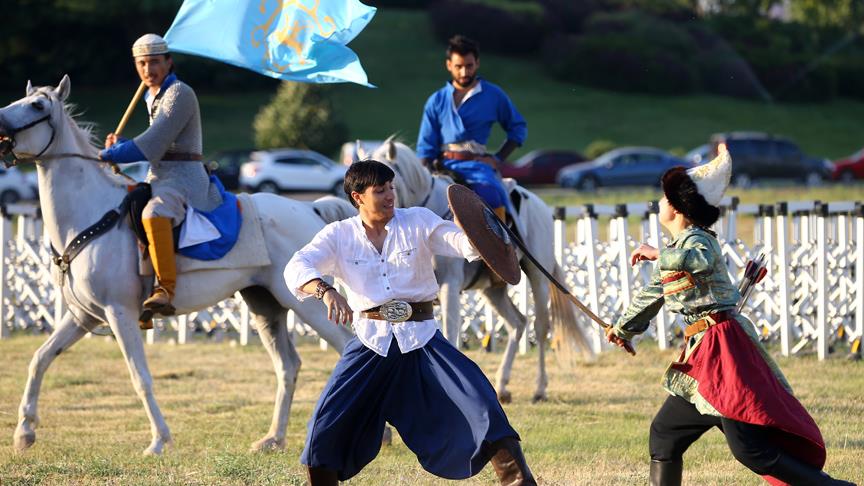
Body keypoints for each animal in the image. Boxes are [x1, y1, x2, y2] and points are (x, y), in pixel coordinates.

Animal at [0, 75, 354, 452]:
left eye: (37, 105)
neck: (91, 216)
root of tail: (308, 207)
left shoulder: (119, 312)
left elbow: (140, 376)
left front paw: (160, 439)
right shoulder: (83, 315)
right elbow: (40, 359)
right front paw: (24, 431)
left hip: (308, 306)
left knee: (346, 347)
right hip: (266, 307)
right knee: (288, 366)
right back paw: (273, 438)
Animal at [372, 138, 592, 402]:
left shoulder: (449, 288)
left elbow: (450, 334)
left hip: (538, 277)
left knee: (540, 328)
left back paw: (539, 388)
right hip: (493, 290)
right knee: (517, 323)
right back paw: (503, 385)